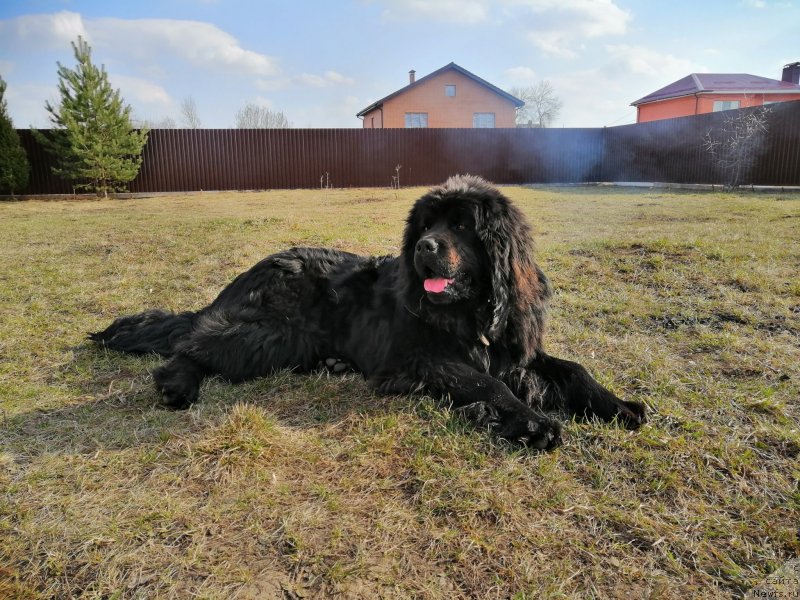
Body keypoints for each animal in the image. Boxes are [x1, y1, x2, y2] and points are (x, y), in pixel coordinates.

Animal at [90, 176, 648, 448]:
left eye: (462, 226)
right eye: (426, 224)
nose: (424, 247)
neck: (472, 313)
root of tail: (243, 277)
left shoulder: (516, 347)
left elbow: (572, 369)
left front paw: (620, 407)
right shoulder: (423, 358)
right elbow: (488, 383)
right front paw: (532, 422)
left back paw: (335, 364)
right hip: (274, 331)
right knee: (193, 343)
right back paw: (177, 384)